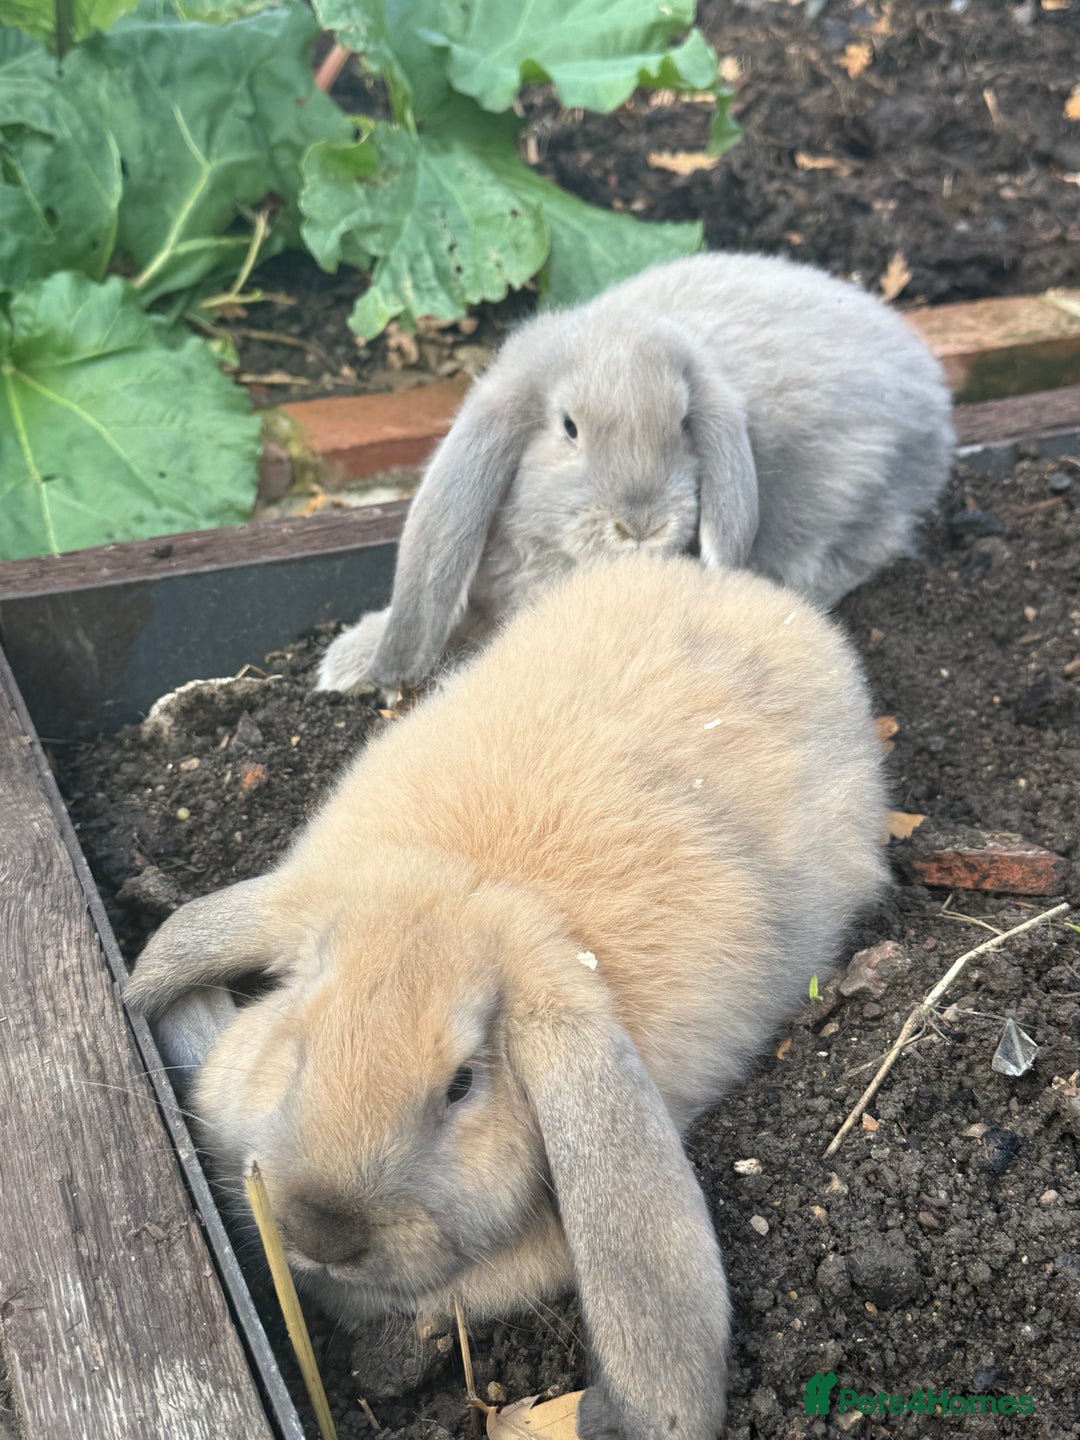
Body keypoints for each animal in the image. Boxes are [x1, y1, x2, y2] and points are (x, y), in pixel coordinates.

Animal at [316, 249, 954, 694]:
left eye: (682, 424)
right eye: (570, 428)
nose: (642, 524)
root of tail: (934, 398)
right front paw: (349, 663)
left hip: (859, 488)